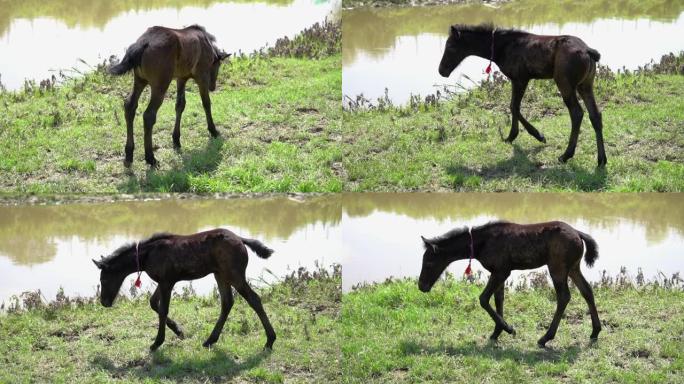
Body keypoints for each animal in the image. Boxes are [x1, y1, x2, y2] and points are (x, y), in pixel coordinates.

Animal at [93, 230, 276, 352]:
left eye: (104, 279)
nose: (104, 302)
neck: (148, 255)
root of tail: (241, 239)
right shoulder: (163, 281)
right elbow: (153, 303)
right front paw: (179, 331)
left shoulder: (167, 282)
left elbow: (163, 310)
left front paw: (157, 343)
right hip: (220, 274)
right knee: (227, 302)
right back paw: (210, 340)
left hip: (234, 275)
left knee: (254, 299)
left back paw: (270, 340)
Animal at [109, 24, 230, 167]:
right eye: (218, 65)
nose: (213, 86)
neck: (206, 43)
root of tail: (143, 42)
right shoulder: (201, 76)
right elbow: (206, 103)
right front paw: (213, 130)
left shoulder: (181, 78)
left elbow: (180, 105)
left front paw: (176, 139)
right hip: (160, 85)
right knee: (149, 115)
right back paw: (150, 158)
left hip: (139, 80)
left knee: (129, 106)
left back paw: (128, 155)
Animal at [420, 220, 600, 346]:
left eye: (428, 263)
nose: (421, 286)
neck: (481, 244)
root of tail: (578, 234)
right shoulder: (498, 272)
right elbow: (499, 299)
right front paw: (496, 333)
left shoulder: (502, 271)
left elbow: (484, 299)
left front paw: (509, 329)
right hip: (573, 268)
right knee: (587, 291)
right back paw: (595, 332)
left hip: (557, 268)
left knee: (564, 297)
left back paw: (545, 338)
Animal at [438, 24, 608, 166]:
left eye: (450, 46)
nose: (442, 71)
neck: (500, 48)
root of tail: (589, 52)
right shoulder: (517, 79)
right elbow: (514, 106)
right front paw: (513, 136)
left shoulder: (520, 78)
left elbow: (514, 106)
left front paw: (535, 135)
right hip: (585, 85)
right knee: (595, 115)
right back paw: (601, 160)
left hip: (565, 84)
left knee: (577, 113)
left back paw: (566, 155)